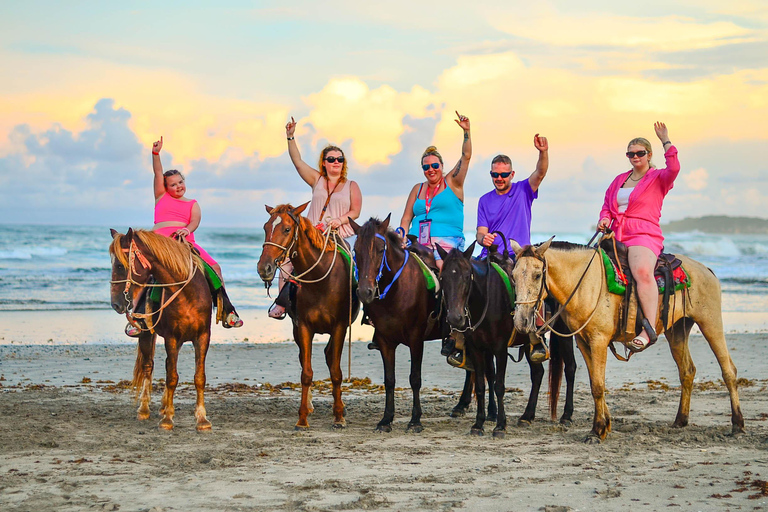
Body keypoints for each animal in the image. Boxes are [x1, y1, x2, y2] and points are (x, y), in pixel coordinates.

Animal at [109, 230, 214, 430]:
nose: (116, 304)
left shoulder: (202, 337)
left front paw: (202, 419)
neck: (188, 294)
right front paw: (167, 419)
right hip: (147, 335)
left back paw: (164, 406)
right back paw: (144, 409)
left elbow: (199, 377)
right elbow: (172, 377)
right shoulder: (171, 338)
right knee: (148, 367)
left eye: (119, 265)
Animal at [255, 202, 356, 430]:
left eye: (286, 229)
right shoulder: (302, 327)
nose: (264, 268)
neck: (320, 279)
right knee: (305, 360)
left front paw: (339, 416)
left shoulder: (339, 327)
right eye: (265, 227)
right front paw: (302, 418)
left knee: (329, 357)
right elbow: (306, 372)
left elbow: (336, 372)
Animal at [438, 243, 576, 436]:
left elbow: (499, 385)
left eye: (466, 276)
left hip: (563, 334)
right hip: (528, 343)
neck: (486, 299)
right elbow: (480, 385)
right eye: (442, 277)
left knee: (570, 368)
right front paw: (478, 423)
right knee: (538, 373)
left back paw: (566, 415)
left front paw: (500, 425)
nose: (455, 318)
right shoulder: (477, 348)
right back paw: (527, 416)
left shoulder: (500, 349)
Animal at [510, 238, 744, 442]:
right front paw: (605, 424)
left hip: (710, 323)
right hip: (677, 331)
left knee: (728, 370)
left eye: (537, 275)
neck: (586, 283)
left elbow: (598, 385)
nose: (521, 320)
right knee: (687, 371)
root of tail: (707, 270)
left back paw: (738, 425)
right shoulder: (583, 342)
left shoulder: (598, 340)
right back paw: (680, 420)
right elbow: (595, 382)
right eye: (513, 275)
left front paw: (597, 431)